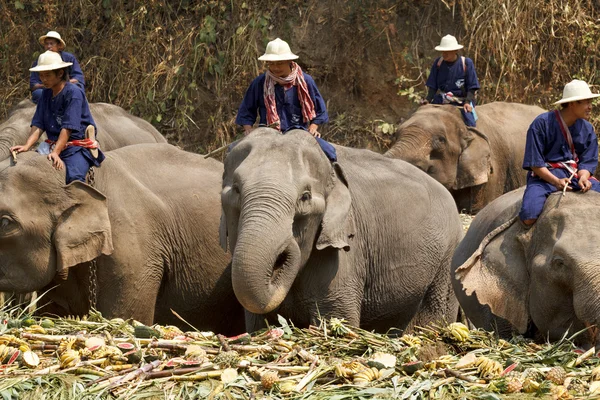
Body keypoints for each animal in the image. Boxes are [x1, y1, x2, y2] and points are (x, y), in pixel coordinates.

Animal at [218, 127, 462, 332]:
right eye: (237, 189)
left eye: (305, 196)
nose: (284, 251)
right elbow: (258, 323)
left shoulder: (344, 253)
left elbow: (336, 317)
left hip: (447, 257)